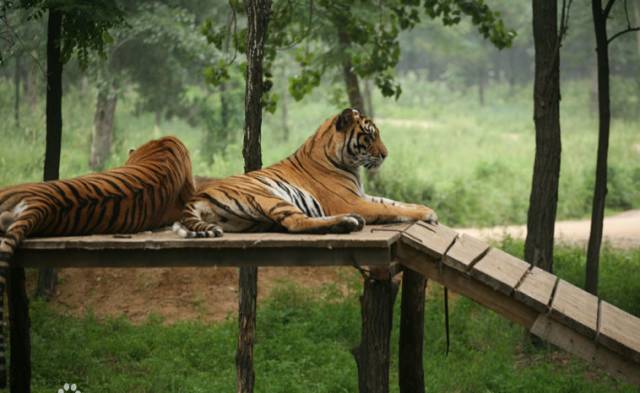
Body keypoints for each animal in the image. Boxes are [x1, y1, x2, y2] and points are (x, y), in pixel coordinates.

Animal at [172, 105, 438, 239]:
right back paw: (349, 221)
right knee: (296, 223)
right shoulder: (351, 200)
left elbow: (394, 202)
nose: (385, 154)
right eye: (370, 135)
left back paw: (347, 222)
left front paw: (424, 208)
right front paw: (428, 214)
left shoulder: (361, 196)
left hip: (252, 222)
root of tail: (197, 196)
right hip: (269, 197)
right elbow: (391, 209)